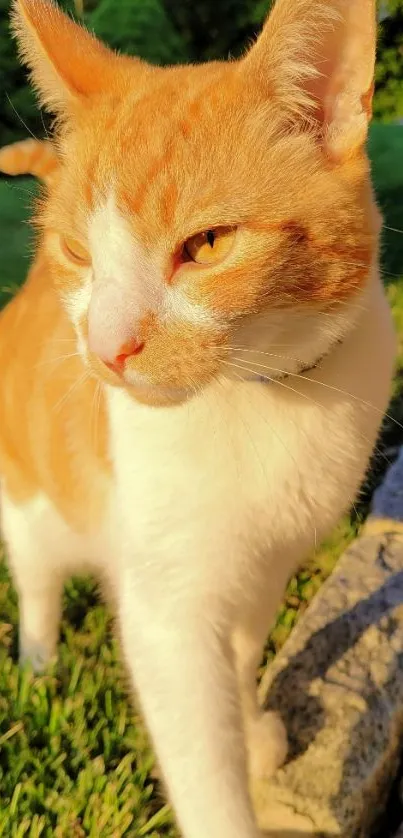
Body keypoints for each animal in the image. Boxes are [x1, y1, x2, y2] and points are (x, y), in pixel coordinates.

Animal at [0, 0, 398, 836]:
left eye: (207, 245)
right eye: (78, 252)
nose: (106, 349)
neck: (263, 400)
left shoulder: (267, 563)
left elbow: (242, 654)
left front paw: (249, 731)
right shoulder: (167, 615)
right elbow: (200, 762)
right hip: (27, 496)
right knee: (37, 575)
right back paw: (39, 661)